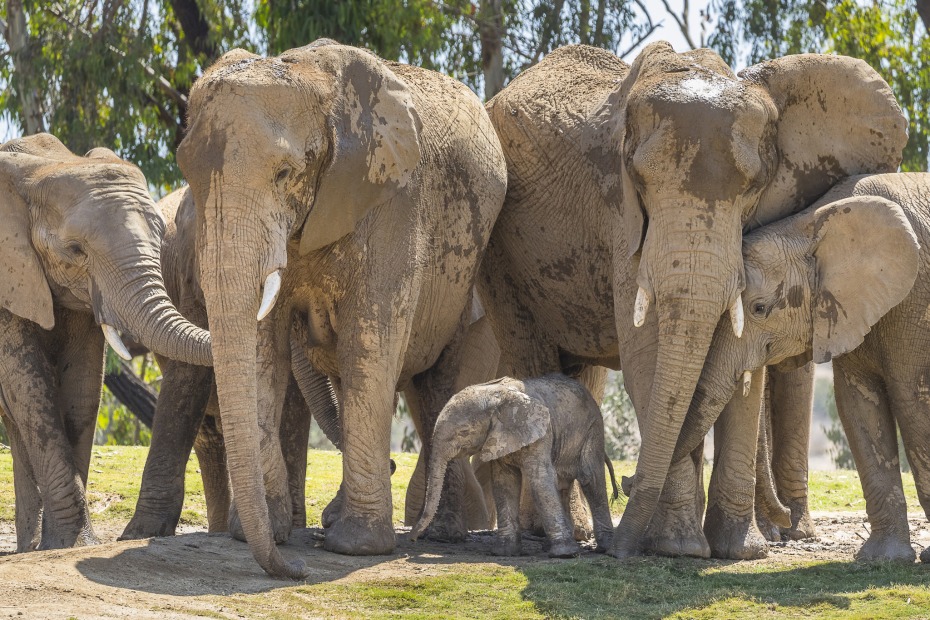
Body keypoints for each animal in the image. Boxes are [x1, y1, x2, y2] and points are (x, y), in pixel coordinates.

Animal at [0, 133, 209, 548]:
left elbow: (82, 387)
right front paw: (72, 543)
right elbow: (28, 383)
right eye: (75, 250)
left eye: (160, 238)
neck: (42, 167)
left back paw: (28, 548)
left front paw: (70, 544)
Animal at [177, 41, 504, 580]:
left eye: (285, 173)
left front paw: (356, 548)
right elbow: (265, 350)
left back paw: (439, 534)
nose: (294, 569)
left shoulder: (395, 201)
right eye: (187, 173)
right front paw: (263, 533)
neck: (312, 79)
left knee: (437, 385)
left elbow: (368, 347)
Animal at [412, 372, 612, 556]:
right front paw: (504, 552)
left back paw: (603, 548)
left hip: (592, 428)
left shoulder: (541, 432)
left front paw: (565, 554)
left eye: (464, 432)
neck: (495, 395)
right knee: (563, 484)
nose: (413, 539)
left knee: (590, 479)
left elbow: (540, 481)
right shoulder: (499, 438)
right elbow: (505, 483)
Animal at [482, 41, 904, 560]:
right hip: (502, 251)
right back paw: (557, 537)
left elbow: (740, 360)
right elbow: (648, 348)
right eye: (640, 180)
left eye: (752, 186)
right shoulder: (620, 218)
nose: (626, 484)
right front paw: (680, 548)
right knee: (532, 351)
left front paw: (740, 551)